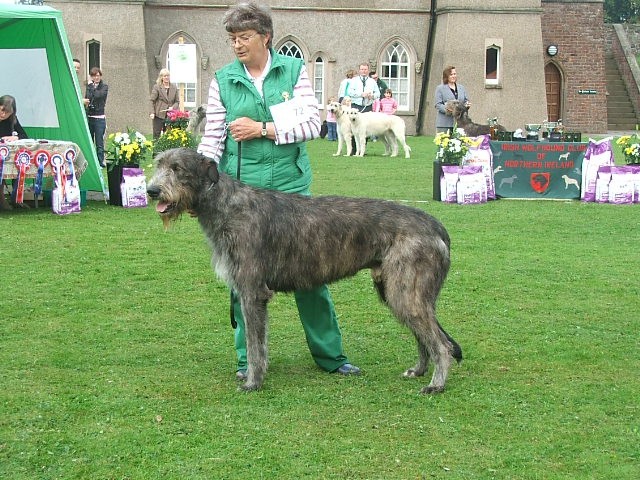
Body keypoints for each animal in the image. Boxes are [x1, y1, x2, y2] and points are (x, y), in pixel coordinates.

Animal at [148, 147, 462, 394]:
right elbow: (259, 343)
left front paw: (253, 382)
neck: (226, 205)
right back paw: (419, 370)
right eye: (158, 164)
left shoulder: (252, 292)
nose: (151, 191)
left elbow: (254, 345)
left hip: (405, 291)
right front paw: (255, 375)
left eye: (177, 168)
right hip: (395, 290)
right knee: (424, 336)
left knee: (439, 343)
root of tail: (437, 227)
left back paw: (436, 384)